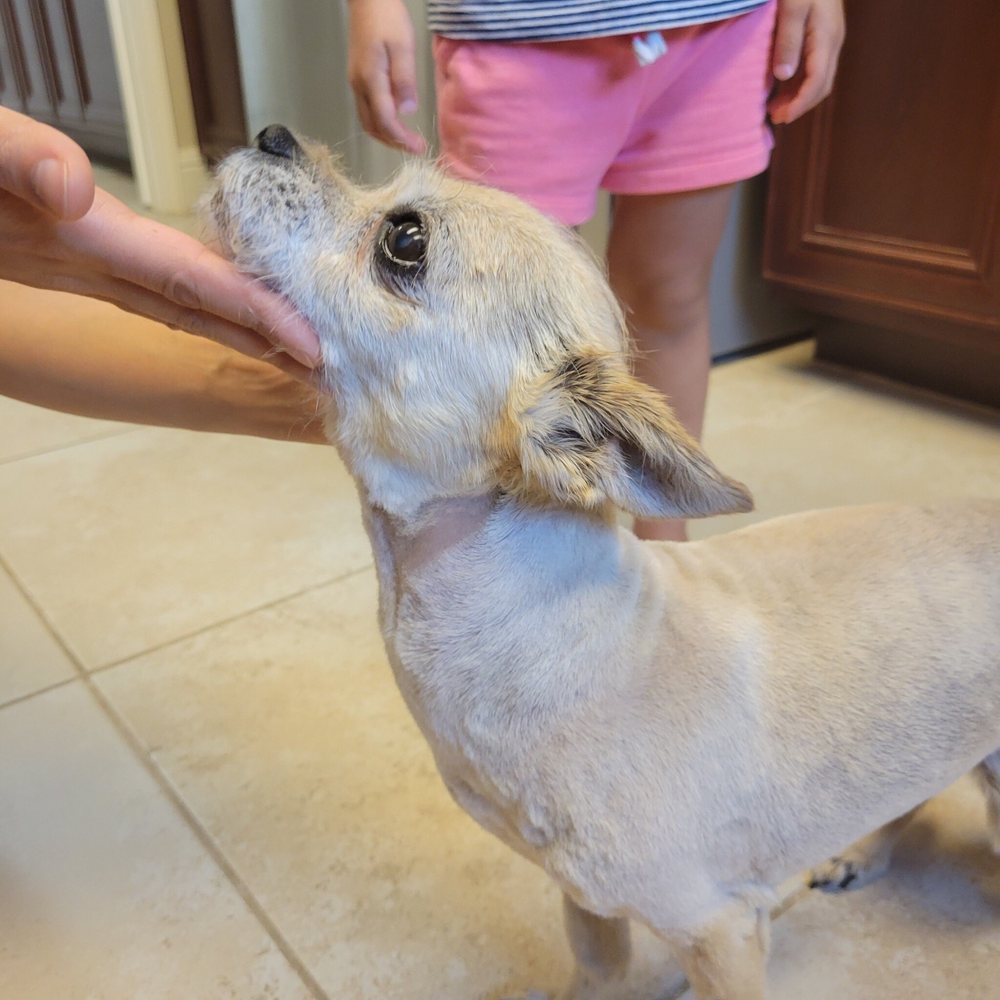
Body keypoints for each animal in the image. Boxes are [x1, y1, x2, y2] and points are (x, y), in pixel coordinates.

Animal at [209, 126, 1000, 1000]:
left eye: (404, 240)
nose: (274, 134)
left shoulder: (721, 931)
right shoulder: (585, 902)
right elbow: (596, 969)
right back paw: (861, 850)